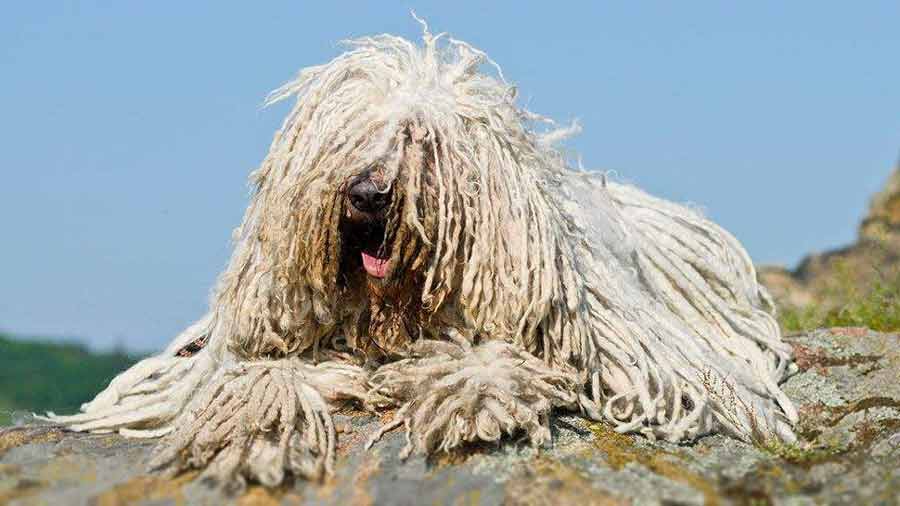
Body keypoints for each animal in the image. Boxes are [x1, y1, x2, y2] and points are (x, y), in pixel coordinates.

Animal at [49, 19, 796, 490]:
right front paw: (260, 426)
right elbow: (261, 373)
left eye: (420, 142)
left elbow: (502, 357)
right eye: (348, 140)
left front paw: (475, 396)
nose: (367, 194)